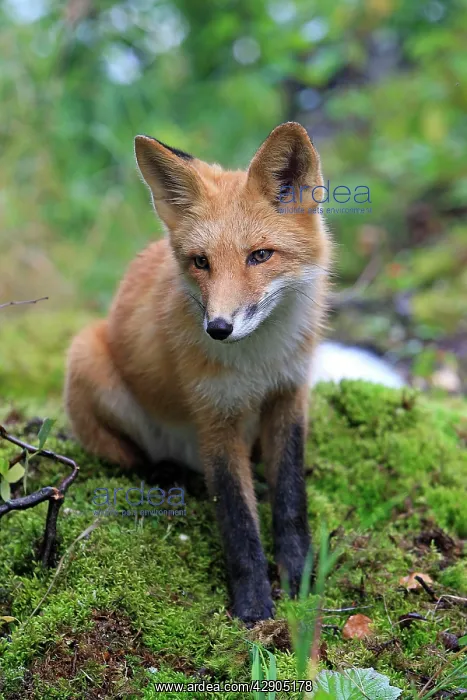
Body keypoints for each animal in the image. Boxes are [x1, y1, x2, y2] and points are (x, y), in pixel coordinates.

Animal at [65, 121, 332, 625]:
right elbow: (237, 520)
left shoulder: (289, 395)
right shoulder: (215, 417)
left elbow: (291, 500)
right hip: (87, 356)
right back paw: (167, 475)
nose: (218, 328)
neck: (259, 361)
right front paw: (253, 606)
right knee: (135, 458)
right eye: (201, 261)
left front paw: (300, 579)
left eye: (260, 255)